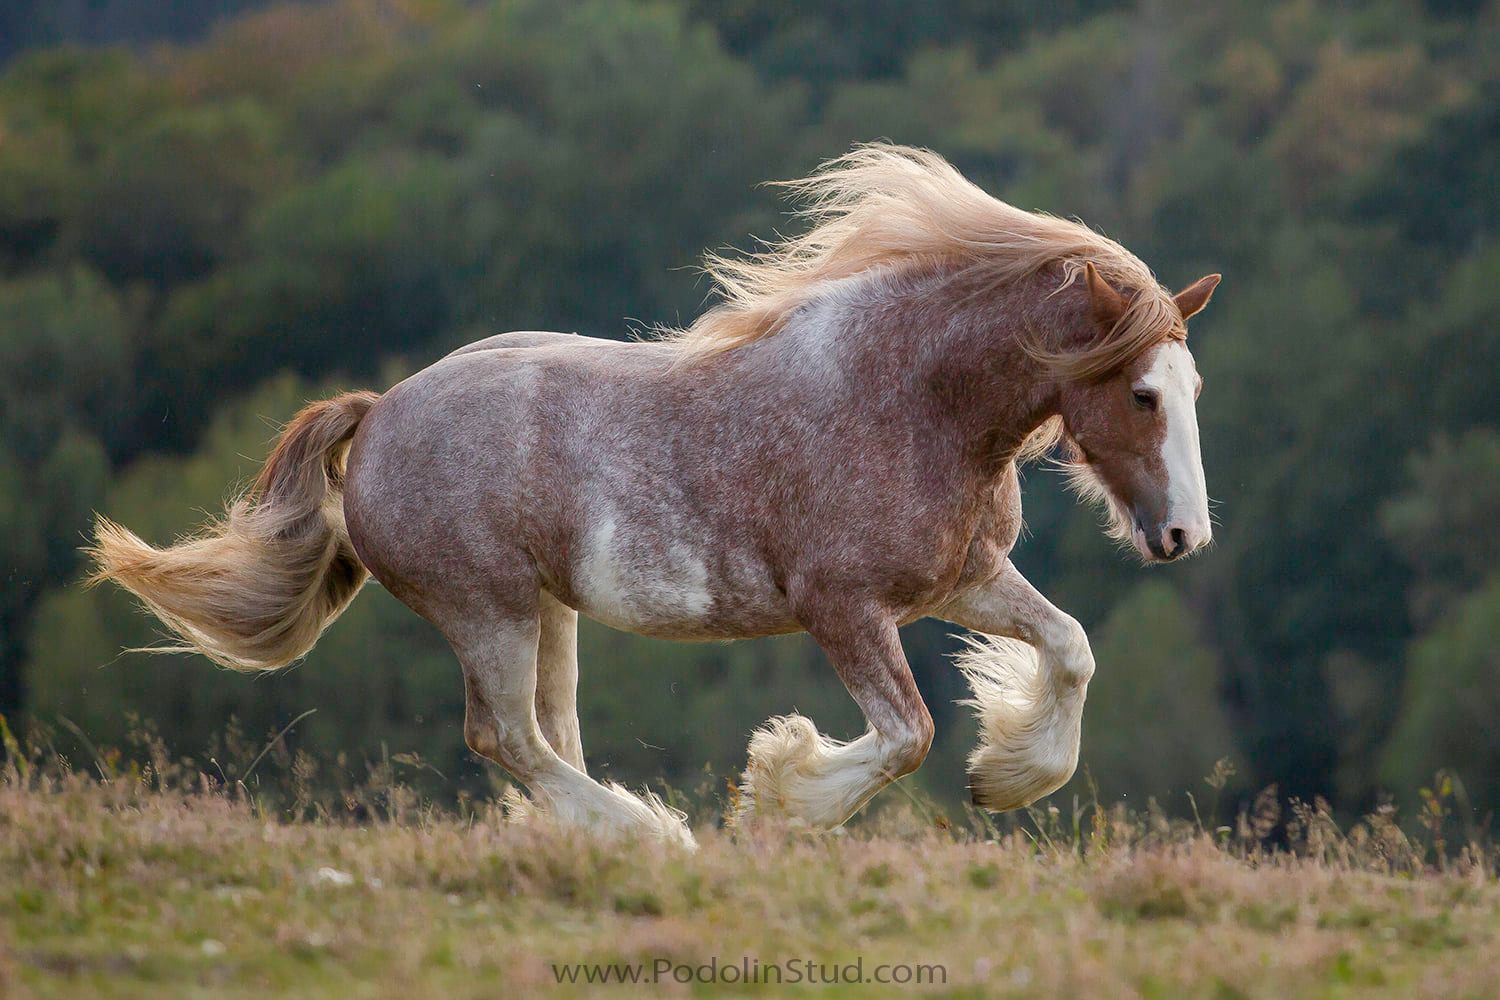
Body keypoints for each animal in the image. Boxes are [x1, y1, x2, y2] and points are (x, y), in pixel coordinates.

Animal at [87, 144, 1218, 845]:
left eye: (1193, 386)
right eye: (1143, 392)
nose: (1183, 536)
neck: (908, 397)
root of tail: (379, 413)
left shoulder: (963, 579)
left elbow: (1069, 648)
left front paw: (1006, 777)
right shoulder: (845, 608)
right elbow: (907, 736)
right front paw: (780, 797)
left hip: (547, 614)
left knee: (545, 737)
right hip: (488, 608)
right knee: (506, 738)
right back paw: (649, 834)